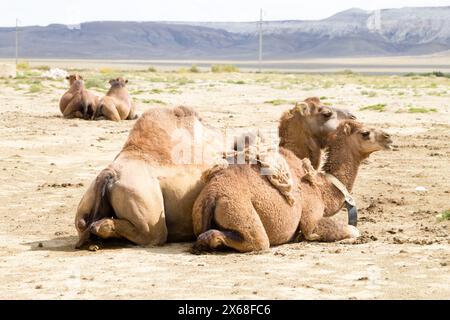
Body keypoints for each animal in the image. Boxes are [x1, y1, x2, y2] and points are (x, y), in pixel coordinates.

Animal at [192, 120, 392, 252]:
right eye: (365, 133)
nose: (388, 138)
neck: (321, 188)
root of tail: (212, 196)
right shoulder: (311, 217)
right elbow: (352, 230)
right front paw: (306, 237)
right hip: (239, 209)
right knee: (257, 241)